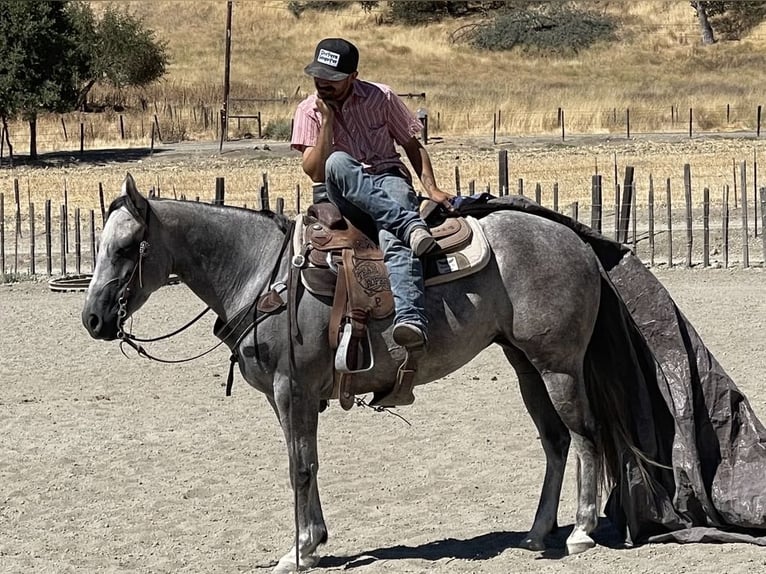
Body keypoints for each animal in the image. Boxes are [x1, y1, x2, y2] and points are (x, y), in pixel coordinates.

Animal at [82, 178, 636, 572]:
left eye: (127, 248)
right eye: (100, 246)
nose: (92, 319)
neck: (262, 275)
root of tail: (576, 240)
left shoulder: (293, 390)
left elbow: (300, 468)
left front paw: (299, 551)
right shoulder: (288, 398)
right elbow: (304, 463)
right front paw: (313, 544)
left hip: (557, 366)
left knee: (585, 435)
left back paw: (582, 531)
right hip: (525, 365)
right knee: (555, 441)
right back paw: (538, 532)